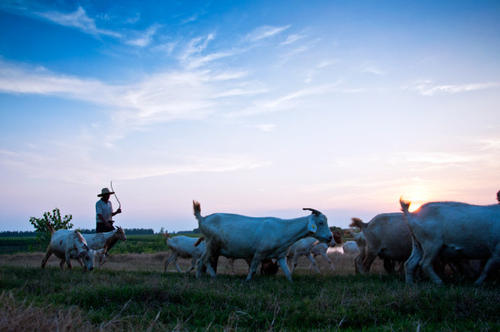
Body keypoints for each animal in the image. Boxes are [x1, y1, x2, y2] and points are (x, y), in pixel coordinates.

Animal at [193, 201, 334, 282]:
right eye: (321, 222)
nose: (330, 238)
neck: (283, 228)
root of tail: (203, 218)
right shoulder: (259, 253)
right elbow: (253, 269)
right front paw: (247, 281)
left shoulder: (280, 256)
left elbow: (287, 272)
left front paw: (291, 282)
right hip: (212, 244)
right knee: (203, 260)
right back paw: (204, 277)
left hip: (211, 246)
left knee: (203, 260)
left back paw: (208, 276)